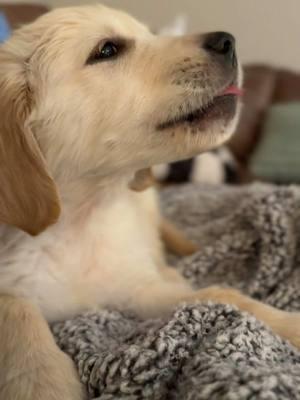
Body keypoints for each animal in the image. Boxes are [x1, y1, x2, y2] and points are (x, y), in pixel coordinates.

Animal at [0, 3, 298, 400]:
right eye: (107, 49)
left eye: (150, 34)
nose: (227, 41)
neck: (79, 218)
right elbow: (16, 305)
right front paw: (42, 382)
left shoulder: (138, 286)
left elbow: (218, 294)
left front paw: (290, 324)